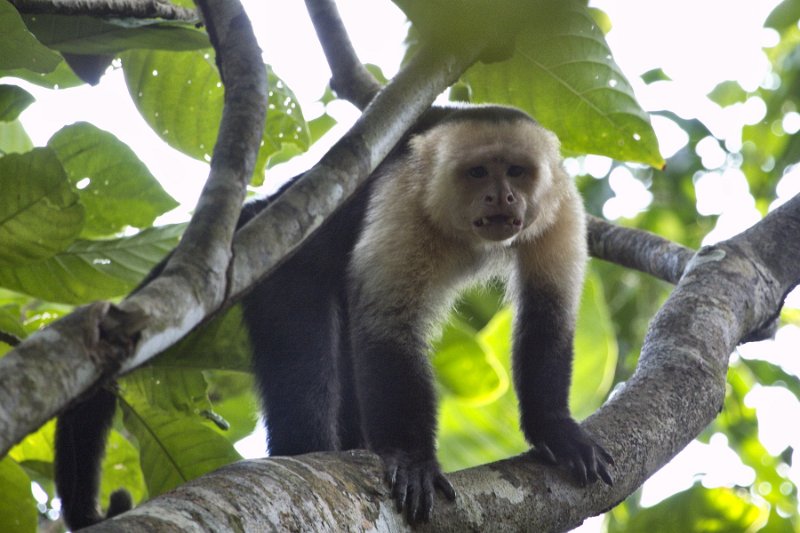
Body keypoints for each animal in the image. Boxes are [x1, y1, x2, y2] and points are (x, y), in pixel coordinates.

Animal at [54, 104, 612, 528]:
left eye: (516, 170)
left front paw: (555, 430)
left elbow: (548, 317)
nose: (503, 196)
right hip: (285, 267)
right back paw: (308, 452)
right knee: (305, 357)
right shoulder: (405, 197)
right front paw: (411, 457)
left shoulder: (561, 207)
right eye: (478, 173)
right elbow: (390, 327)